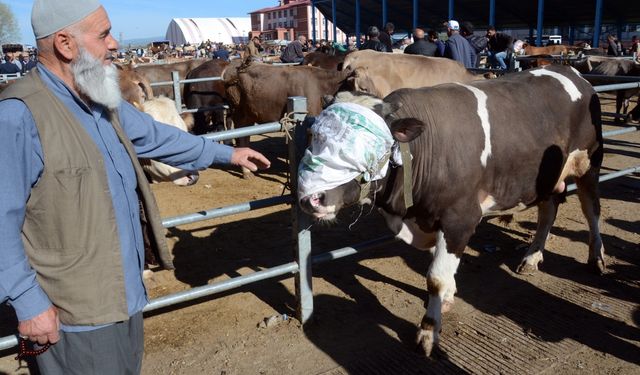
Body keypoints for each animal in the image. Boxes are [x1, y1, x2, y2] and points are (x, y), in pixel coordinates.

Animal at [298, 65, 608, 358]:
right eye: (313, 137)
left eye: (368, 143)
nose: (312, 198)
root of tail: (570, 71)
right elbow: (440, 267)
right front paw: (447, 297)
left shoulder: (460, 219)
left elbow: (435, 276)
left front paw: (428, 332)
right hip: (546, 178)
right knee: (548, 211)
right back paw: (532, 257)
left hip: (589, 162)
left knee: (591, 208)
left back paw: (596, 258)